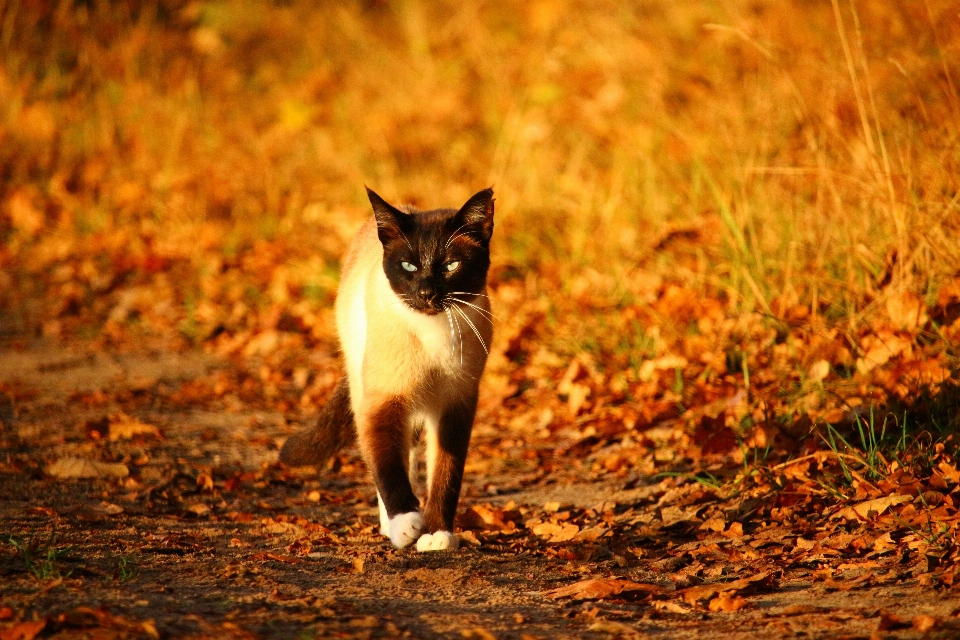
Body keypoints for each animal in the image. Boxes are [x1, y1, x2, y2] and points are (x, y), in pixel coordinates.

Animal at [274, 185, 492, 552]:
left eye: (451, 266)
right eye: (408, 266)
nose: (426, 293)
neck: (434, 334)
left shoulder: (455, 405)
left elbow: (446, 475)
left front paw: (437, 534)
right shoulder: (384, 401)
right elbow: (387, 468)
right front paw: (406, 524)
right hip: (369, 389)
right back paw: (392, 528)